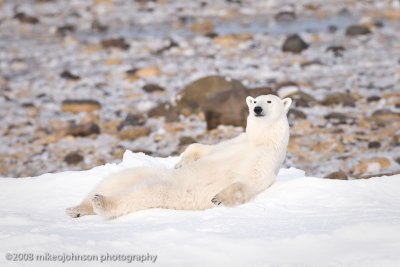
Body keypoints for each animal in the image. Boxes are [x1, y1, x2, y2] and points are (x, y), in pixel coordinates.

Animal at [65, 94, 290, 220]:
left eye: (269, 100)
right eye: (255, 101)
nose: (257, 109)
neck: (261, 139)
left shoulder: (266, 159)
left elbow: (251, 181)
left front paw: (218, 198)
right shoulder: (235, 142)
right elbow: (202, 148)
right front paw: (181, 163)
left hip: (168, 191)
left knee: (140, 194)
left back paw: (101, 203)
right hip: (141, 173)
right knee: (114, 180)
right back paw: (78, 207)